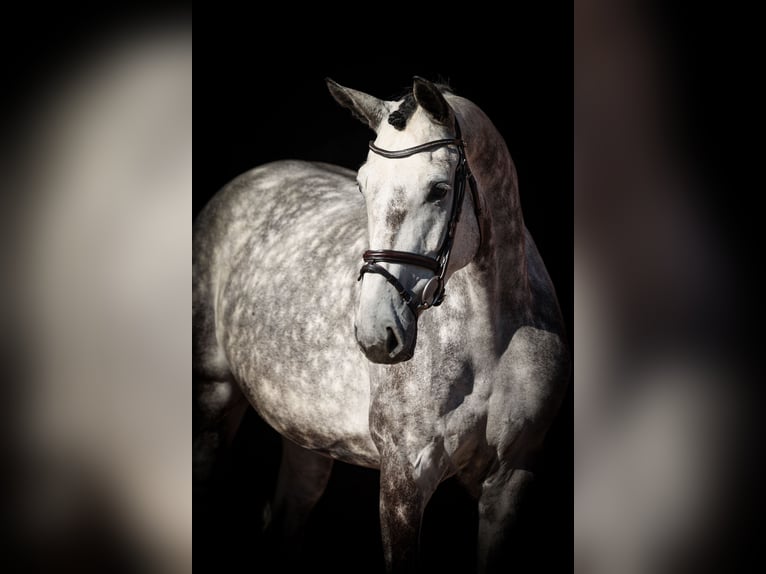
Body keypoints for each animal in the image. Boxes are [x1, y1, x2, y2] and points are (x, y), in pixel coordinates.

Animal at [193, 77, 569, 572]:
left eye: (438, 190)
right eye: (363, 185)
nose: (377, 334)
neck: (491, 336)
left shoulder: (512, 477)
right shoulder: (404, 478)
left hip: (307, 441)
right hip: (213, 403)